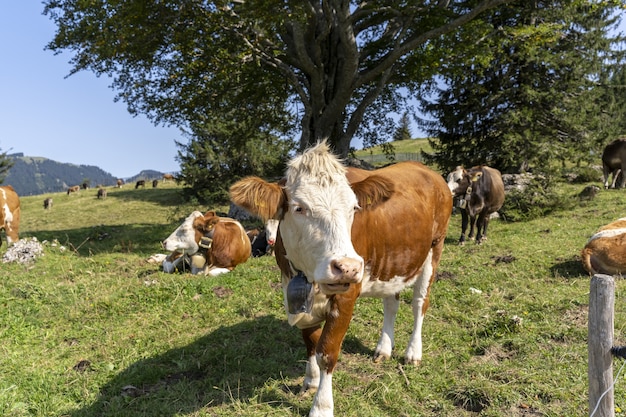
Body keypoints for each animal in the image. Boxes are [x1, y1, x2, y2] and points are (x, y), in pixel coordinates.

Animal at [228, 141, 448, 416]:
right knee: (391, 303)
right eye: (299, 208)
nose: (348, 267)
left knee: (419, 303)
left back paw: (413, 352)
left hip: (434, 249)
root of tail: (425, 169)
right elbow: (311, 342)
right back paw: (384, 348)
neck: (308, 276)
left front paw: (321, 406)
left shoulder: (346, 295)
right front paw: (310, 381)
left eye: (354, 208)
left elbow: (327, 353)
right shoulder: (295, 292)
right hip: (394, 261)